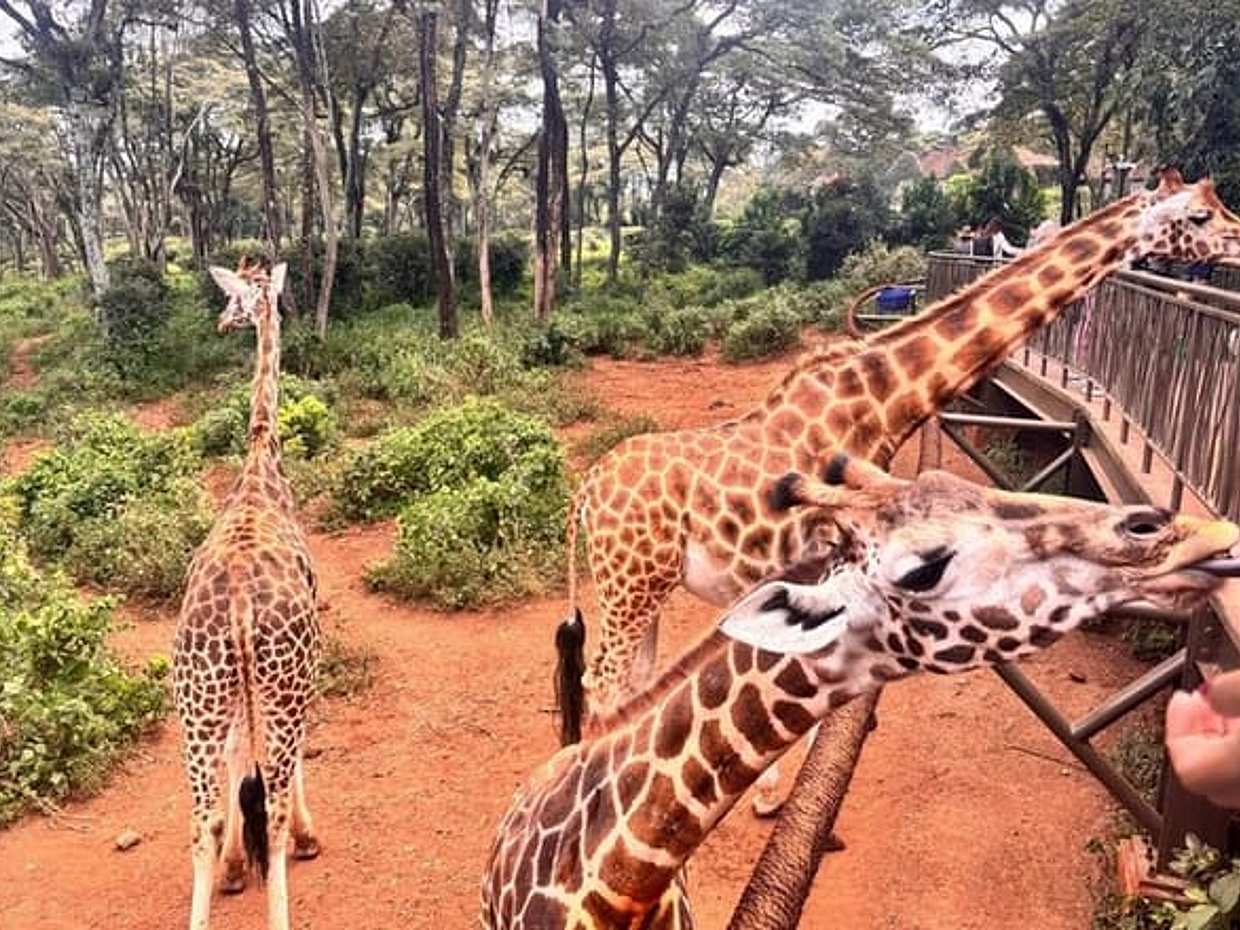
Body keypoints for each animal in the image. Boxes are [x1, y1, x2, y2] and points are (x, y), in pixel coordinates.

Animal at [557, 170, 1240, 768]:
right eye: (1200, 216)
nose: (1237, 240)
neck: (881, 399)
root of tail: (585, 491)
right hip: (629, 584)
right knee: (602, 685)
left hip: (646, 584)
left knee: (630, 682)